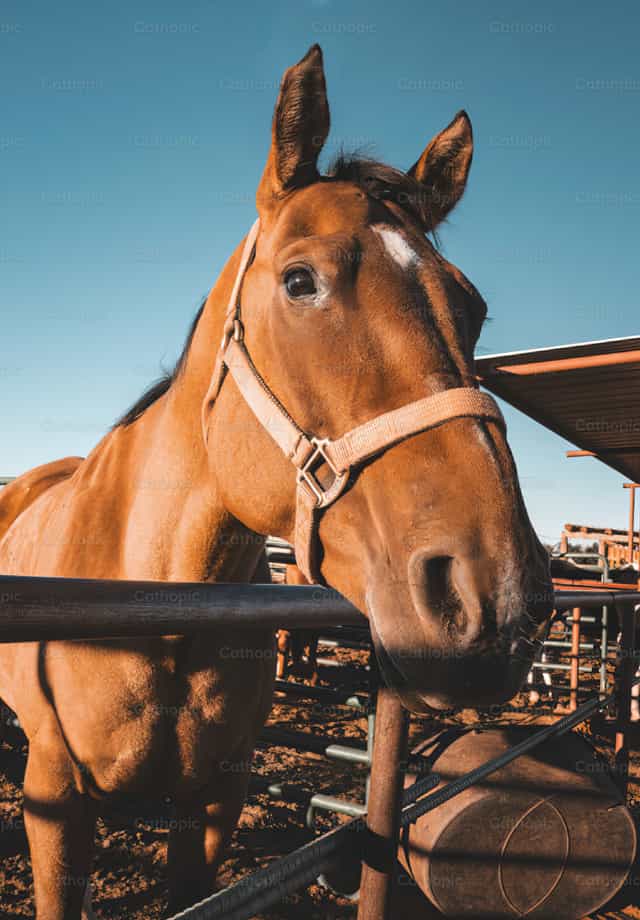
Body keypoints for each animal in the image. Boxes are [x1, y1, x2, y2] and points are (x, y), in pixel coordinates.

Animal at [0, 45, 552, 918]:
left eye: (472, 307)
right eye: (300, 282)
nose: (495, 599)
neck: (157, 607)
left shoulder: (214, 804)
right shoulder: (54, 804)